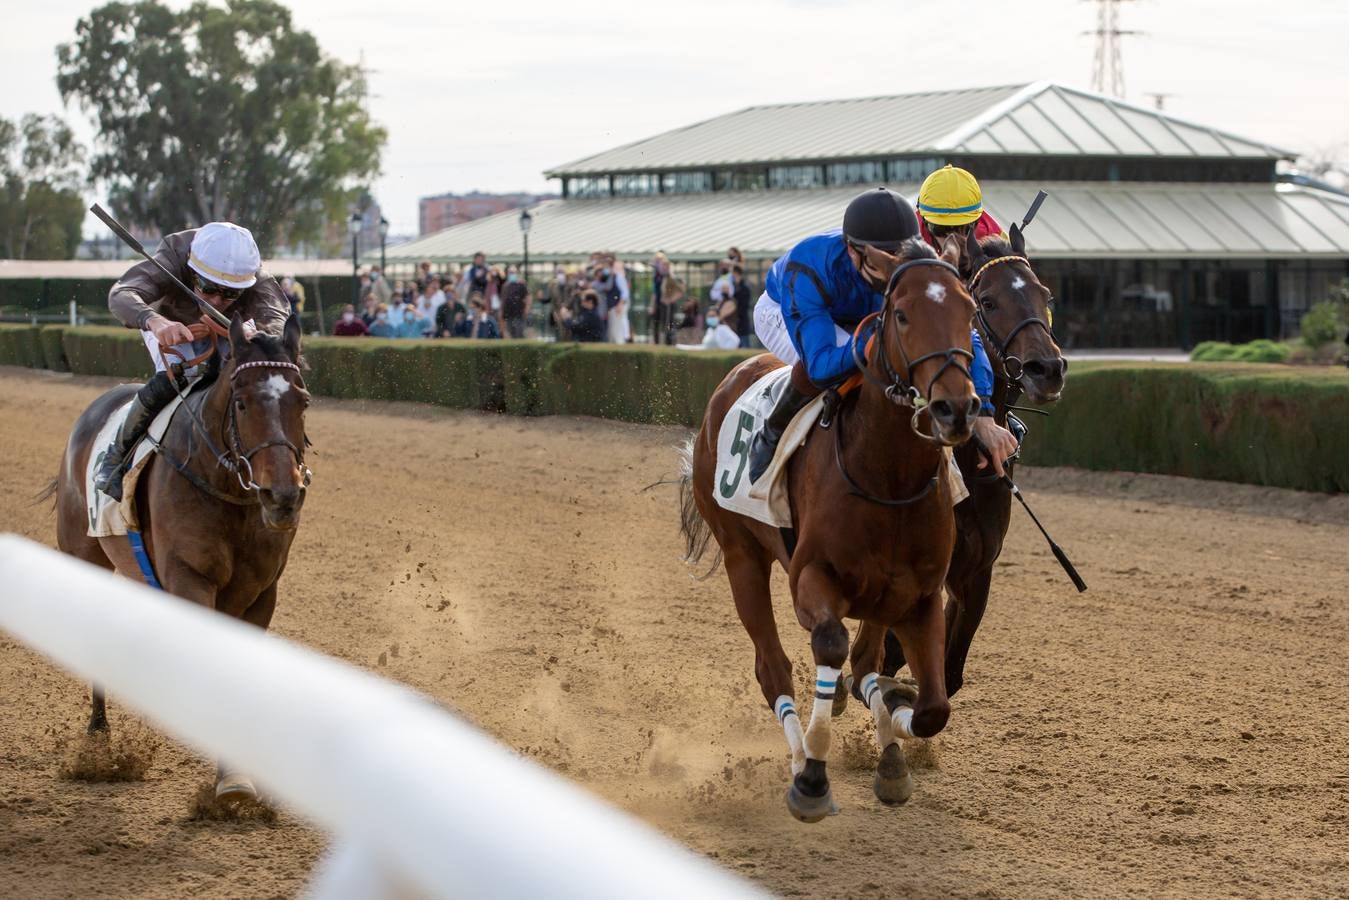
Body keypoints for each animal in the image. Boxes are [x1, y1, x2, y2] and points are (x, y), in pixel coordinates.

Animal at [49, 315, 308, 804]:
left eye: (302, 402)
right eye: (242, 403)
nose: (283, 495)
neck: (225, 490)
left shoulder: (260, 592)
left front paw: (239, 775)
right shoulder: (191, 579)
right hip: (84, 554)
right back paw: (98, 743)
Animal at [685, 237, 982, 825]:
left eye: (969, 311)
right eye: (902, 314)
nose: (955, 408)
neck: (887, 474)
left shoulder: (918, 596)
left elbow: (930, 706)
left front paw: (895, 729)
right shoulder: (812, 577)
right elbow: (828, 643)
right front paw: (814, 777)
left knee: (864, 662)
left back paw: (886, 752)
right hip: (740, 555)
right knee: (772, 668)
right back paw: (801, 758)